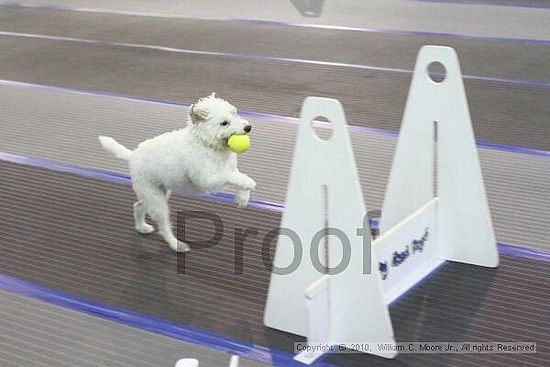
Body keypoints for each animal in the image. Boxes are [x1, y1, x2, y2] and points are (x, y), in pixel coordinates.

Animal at [98, 93, 256, 253]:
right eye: (224, 123)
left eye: (235, 113)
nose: (248, 127)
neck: (206, 143)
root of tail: (132, 155)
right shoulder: (207, 179)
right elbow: (231, 176)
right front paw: (249, 184)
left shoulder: (231, 169)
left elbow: (237, 176)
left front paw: (242, 199)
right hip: (156, 200)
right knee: (163, 227)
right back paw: (176, 245)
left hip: (156, 194)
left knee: (138, 206)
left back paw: (142, 227)